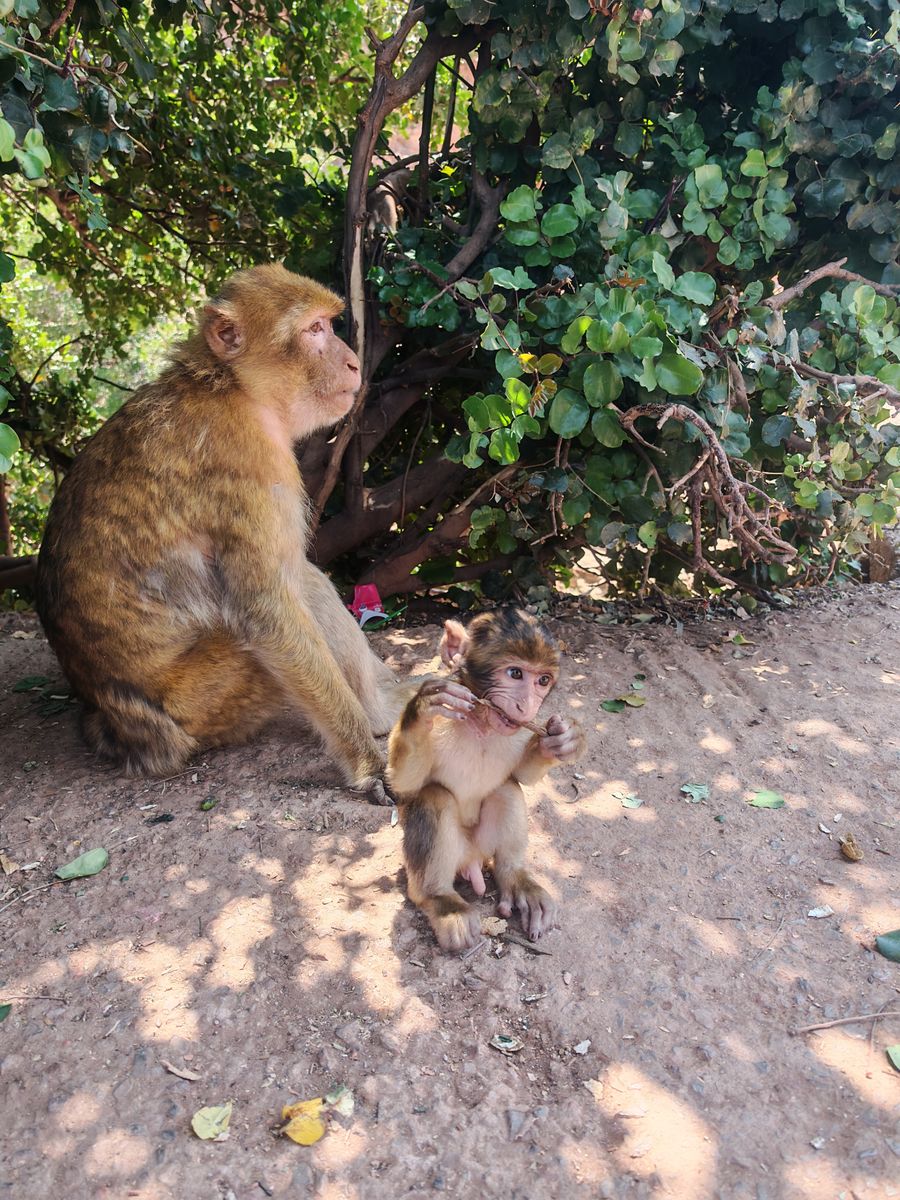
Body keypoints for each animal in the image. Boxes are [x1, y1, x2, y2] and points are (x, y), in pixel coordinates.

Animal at [36, 263, 406, 795]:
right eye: (315, 330)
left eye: (331, 324)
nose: (355, 363)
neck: (233, 386)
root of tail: (119, 724)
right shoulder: (248, 459)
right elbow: (266, 607)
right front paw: (366, 763)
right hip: (210, 697)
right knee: (292, 588)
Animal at [387, 608, 584, 953]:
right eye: (515, 673)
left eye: (542, 680)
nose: (526, 706)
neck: (480, 722)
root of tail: (472, 861)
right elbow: (404, 784)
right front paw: (421, 709)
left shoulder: (518, 730)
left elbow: (521, 775)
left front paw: (566, 739)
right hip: (453, 854)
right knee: (433, 797)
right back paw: (440, 899)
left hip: (484, 845)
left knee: (506, 789)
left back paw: (514, 878)